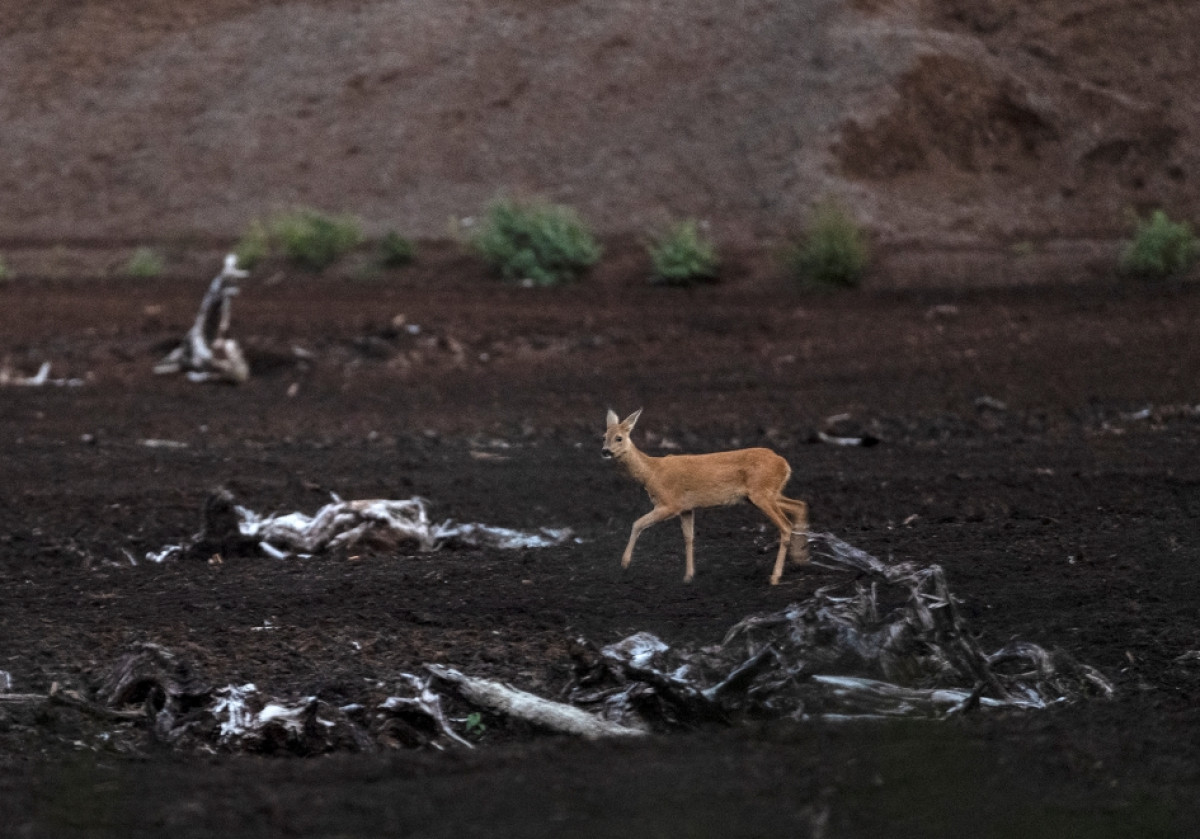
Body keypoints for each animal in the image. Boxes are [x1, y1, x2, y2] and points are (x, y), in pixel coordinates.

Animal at [604, 410, 811, 588]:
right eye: (603, 436)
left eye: (619, 437)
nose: (605, 451)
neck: (652, 472)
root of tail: (784, 464)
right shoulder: (686, 508)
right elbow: (688, 537)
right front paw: (688, 576)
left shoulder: (670, 504)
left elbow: (637, 523)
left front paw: (624, 564)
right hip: (764, 494)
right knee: (799, 505)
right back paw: (801, 560)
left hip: (762, 493)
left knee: (785, 525)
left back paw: (775, 577)